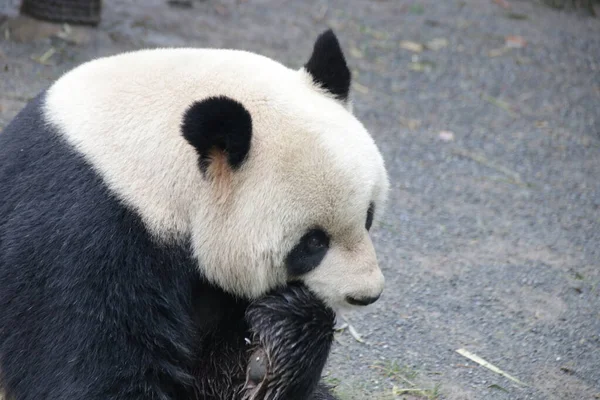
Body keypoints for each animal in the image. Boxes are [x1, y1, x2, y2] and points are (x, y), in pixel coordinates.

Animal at [0, 28, 390, 400]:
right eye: (312, 243)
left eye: (368, 216)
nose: (365, 294)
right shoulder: (85, 232)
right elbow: (92, 366)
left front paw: (278, 341)